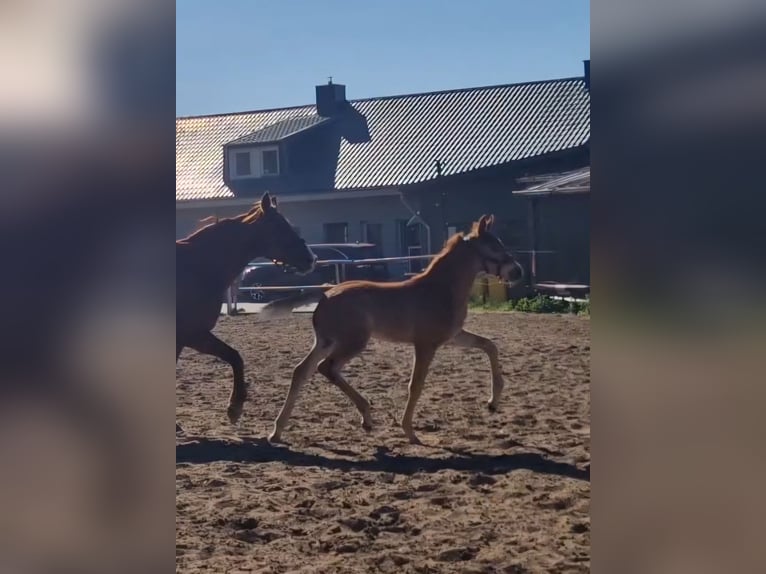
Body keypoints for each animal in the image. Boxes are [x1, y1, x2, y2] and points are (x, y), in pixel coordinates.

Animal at [176, 192, 316, 427]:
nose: (310, 258)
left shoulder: (190, 337)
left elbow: (235, 356)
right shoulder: (191, 334)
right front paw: (235, 407)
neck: (198, 268)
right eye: (280, 227)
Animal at [260, 214, 524, 445]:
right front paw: (409, 431)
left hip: (326, 341)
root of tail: (325, 292)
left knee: (301, 371)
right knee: (327, 368)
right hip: (353, 342)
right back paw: (366, 416)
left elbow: (489, 345)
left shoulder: (452, 337)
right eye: (494, 247)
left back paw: (277, 431)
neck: (440, 290)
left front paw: (493, 402)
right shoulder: (425, 344)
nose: (518, 271)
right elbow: (415, 385)